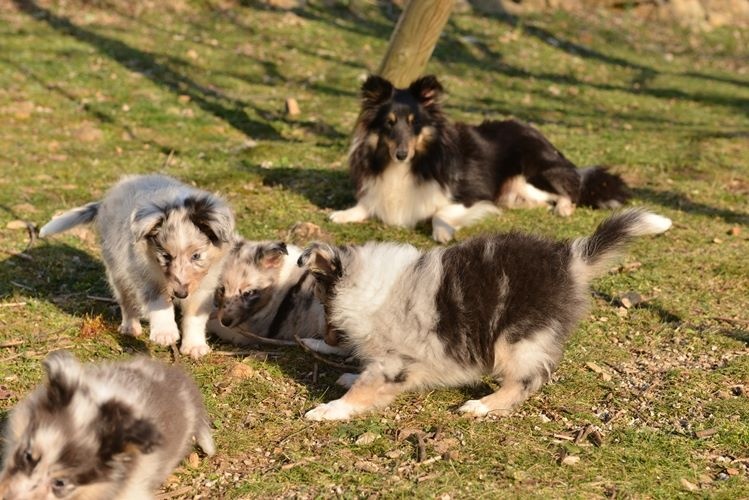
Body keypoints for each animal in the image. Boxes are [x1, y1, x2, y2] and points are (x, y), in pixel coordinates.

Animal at [40, 174, 234, 358]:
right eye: (165, 256)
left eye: (196, 256)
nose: (180, 294)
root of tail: (105, 201)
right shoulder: (144, 274)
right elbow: (159, 303)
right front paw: (165, 333)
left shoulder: (204, 284)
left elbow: (195, 316)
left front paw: (194, 346)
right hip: (118, 271)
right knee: (127, 301)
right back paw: (130, 327)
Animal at [298, 209, 672, 420]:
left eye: (322, 302)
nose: (325, 334)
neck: (367, 288)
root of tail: (569, 261)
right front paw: (342, 368)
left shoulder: (393, 362)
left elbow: (363, 391)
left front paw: (328, 410)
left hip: (516, 340)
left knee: (529, 379)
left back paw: (482, 405)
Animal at [330, 74, 628, 244]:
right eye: (389, 123)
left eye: (414, 124)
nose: (401, 154)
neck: (415, 163)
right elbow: (366, 204)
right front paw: (343, 214)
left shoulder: (469, 196)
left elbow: (439, 213)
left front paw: (443, 232)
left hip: (534, 172)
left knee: (571, 187)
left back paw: (564, 207)